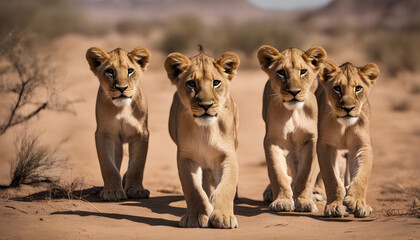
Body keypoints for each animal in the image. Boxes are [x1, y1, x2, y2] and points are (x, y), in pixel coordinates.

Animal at [85, 46, 151, 201]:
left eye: (130, 70)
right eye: (110, 71)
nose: (122, 88)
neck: (122, 108)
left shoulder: (141, 133)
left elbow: (137, 166)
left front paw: (135, 190)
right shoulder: (104, 134)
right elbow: (109, 166)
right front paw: (112, 191)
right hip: (117, 143)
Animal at [166, 49, 241, 228]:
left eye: (216, 83)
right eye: (191, 84)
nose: (206, 105)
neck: (206, 130)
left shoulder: (228, 155)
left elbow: (226, 186)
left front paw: (224, 216)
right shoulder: (186, 157)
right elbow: (193, 189)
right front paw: (195, 216)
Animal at [256, 45, 328, 212]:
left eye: (303, 71)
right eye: (281, 72)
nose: (294, 92)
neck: (293, 113)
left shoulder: (310, 139)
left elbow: (305, 173)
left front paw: (304, 202)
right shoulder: (272, 140)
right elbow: (277, 172)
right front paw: (282, 201)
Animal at [318, 60, 380, 218]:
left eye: (358, 88)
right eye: (337, 88)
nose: (348, 108)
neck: (344, 126)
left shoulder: (362, 145)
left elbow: (362, 175)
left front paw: (357, 202)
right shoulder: (325, 145)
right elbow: (331, 178)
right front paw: (334, 206)